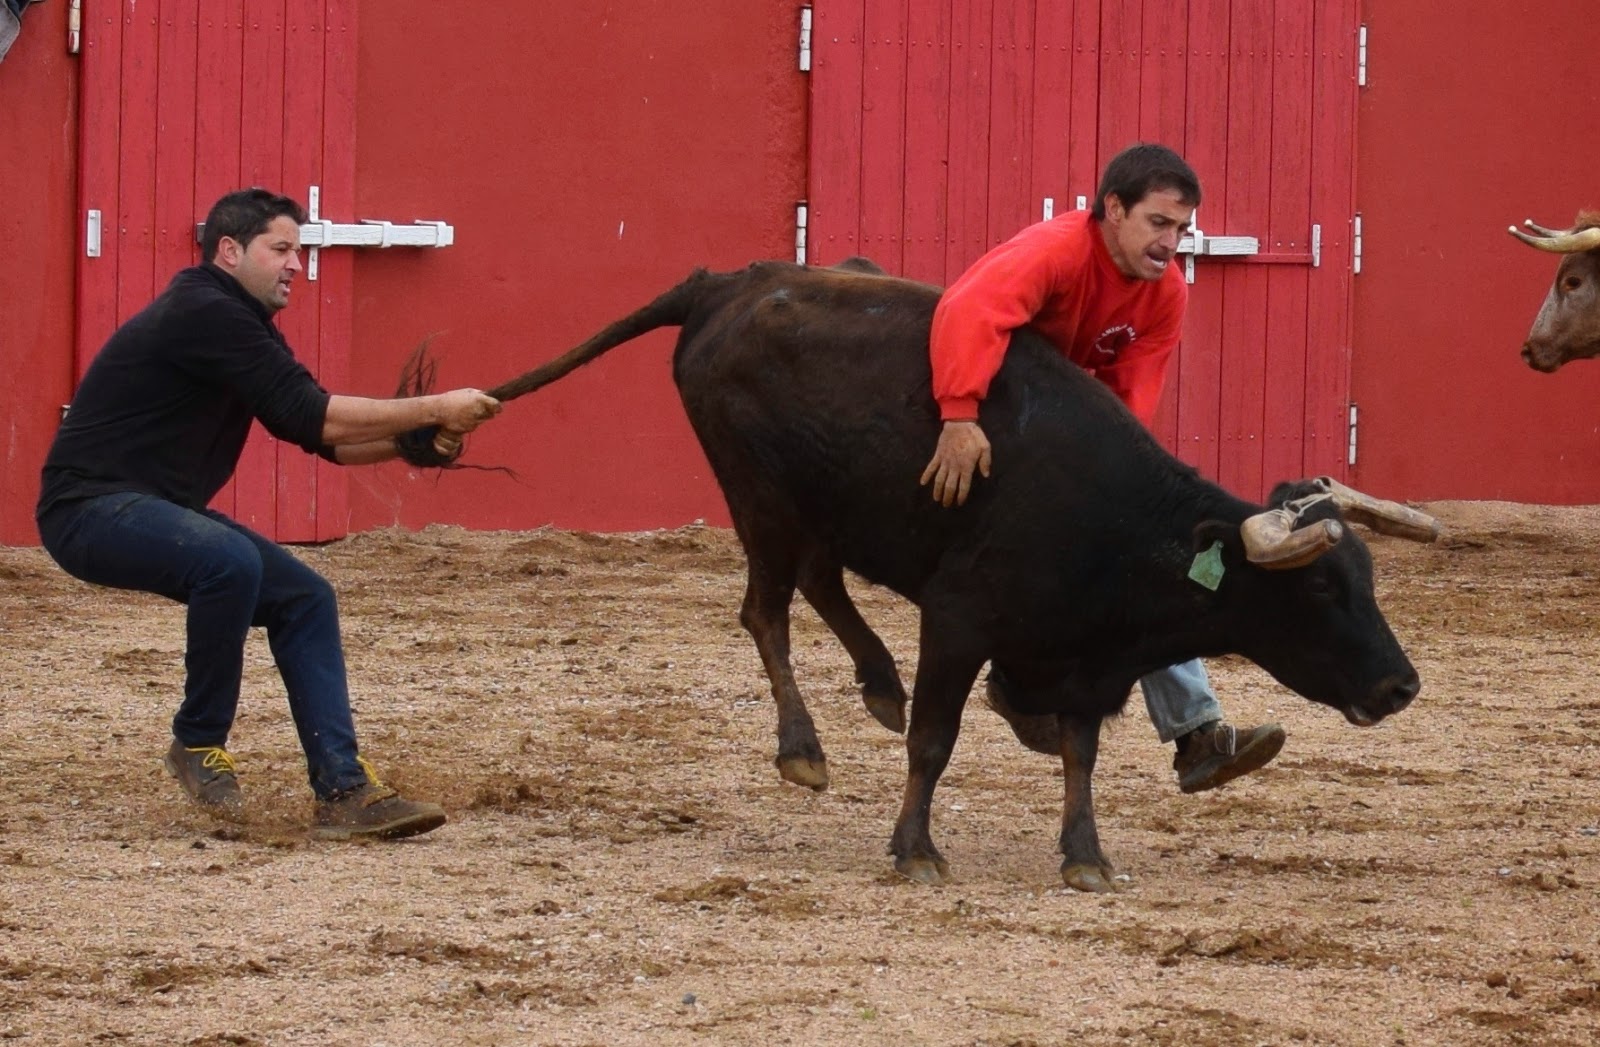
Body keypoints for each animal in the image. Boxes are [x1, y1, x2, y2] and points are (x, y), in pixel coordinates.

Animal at [462, 259, 1433, 892]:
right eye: (1319, 588)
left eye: (1369, 577)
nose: (1401, 685)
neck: (1114, 520)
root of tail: (726, 282)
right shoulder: (959, 619)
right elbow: (936, 738)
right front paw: (915, 848)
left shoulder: (1087, 657)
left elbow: (1078, 751)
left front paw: (1086, 854)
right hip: (760, 500)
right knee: (766, 610)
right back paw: (803, 747)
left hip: (827, 510)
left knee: (821, 582)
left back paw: (876, 683)